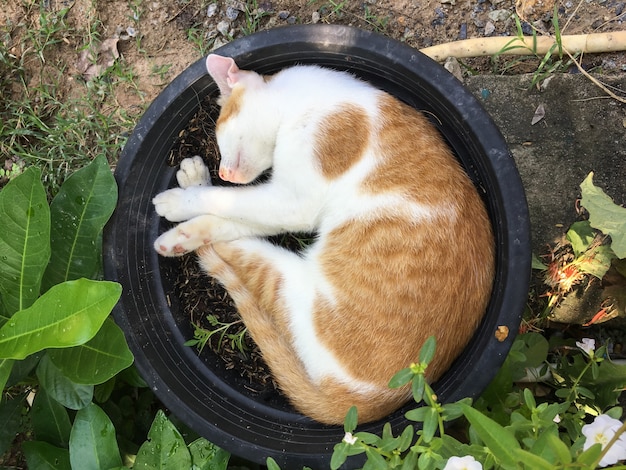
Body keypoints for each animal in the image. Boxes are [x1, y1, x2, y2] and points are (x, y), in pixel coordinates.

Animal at [152, 53, 492, 424]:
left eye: (219, 131)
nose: (225, 173)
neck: (304, 99)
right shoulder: (287, 206)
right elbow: (237, 217)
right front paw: (194, 211)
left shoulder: (294, 199)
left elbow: (226, 201)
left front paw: (181, 201)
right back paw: (185, 233)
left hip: (294, 285)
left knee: (238, 251)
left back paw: (184, 220)